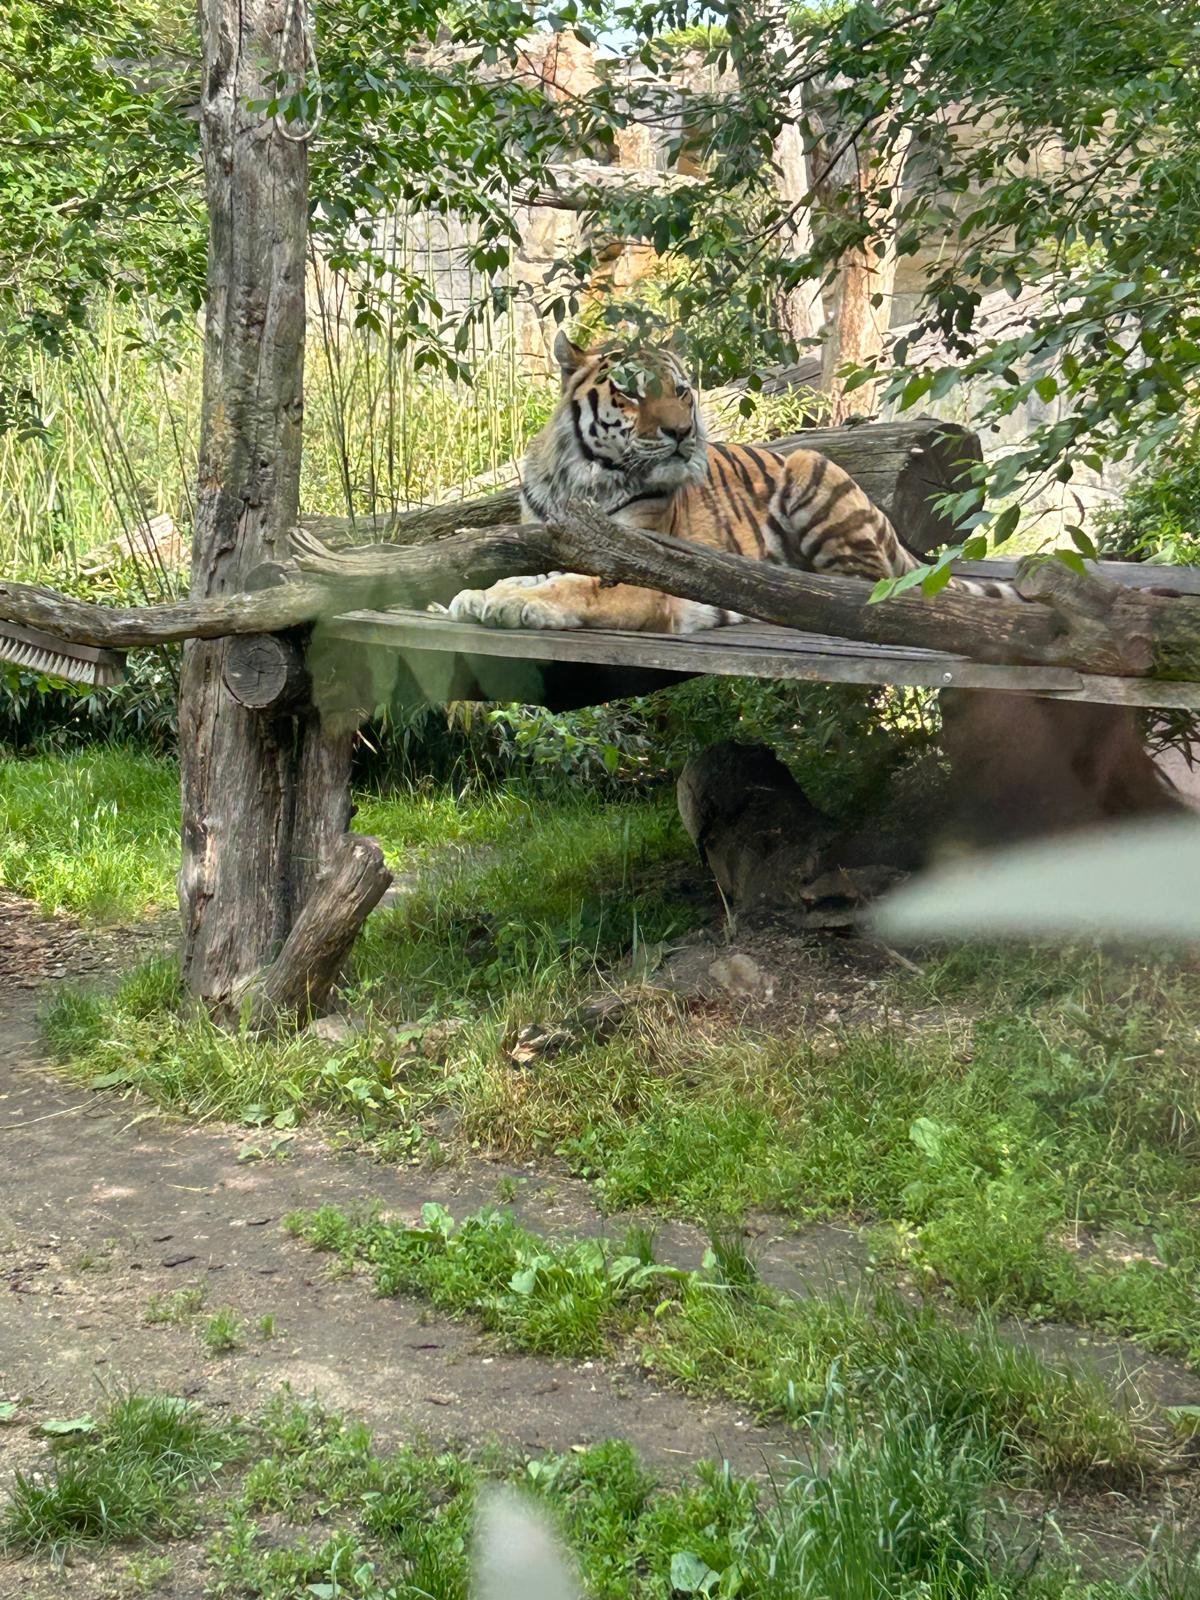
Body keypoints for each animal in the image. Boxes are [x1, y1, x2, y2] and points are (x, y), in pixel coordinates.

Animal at [447, 330, 1012, 634]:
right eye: (630, 393)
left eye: (680, 391)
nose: (681, 432)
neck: (584, 480)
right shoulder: (552, 545)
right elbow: (532, 576)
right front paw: (482, 594)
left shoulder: (637, 573)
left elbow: (574, 588)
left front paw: (511, 604)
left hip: (810, 464)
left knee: (854, 591)